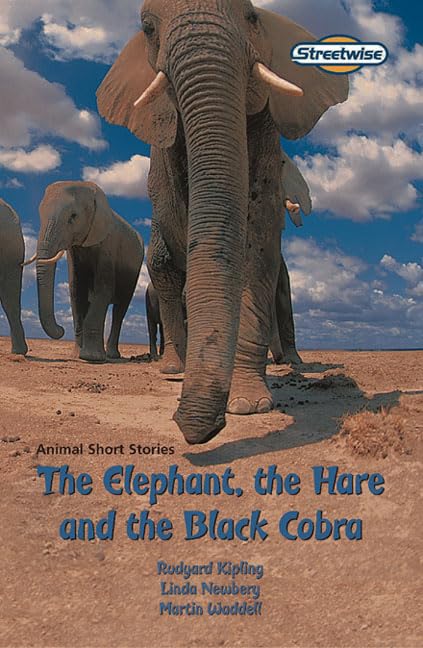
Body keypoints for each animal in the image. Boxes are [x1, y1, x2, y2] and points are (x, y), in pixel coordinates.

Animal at [31, 181, 144, 362]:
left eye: (73, 216)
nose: (61, 329)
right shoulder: (74, 253)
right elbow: (77, 293)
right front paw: (78, 356)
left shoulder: (107, 247)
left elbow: (103, 291)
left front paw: (92, 358)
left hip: (134, 272)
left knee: (120, 310)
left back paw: (111, 355)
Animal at [97, 0, 348, 443]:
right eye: (147, 29)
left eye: (251, 17)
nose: (191, 427)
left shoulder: (267, 134)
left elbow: (259, 240)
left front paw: (248, 405)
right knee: (165, 271)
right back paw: (173, 371)